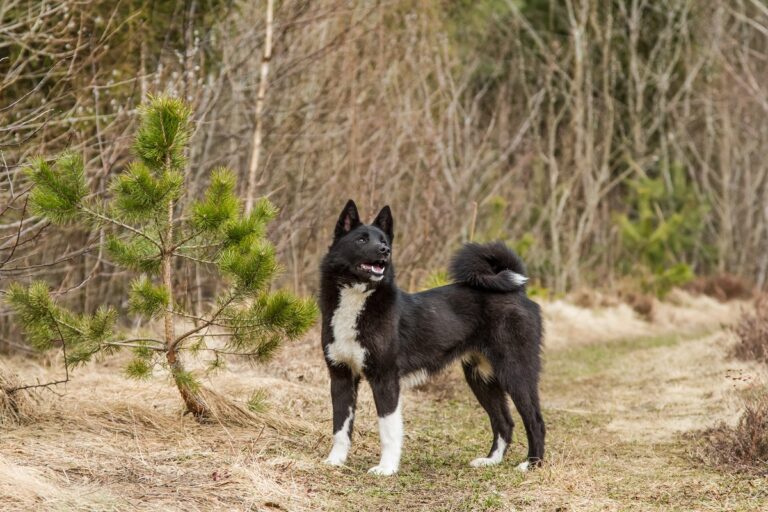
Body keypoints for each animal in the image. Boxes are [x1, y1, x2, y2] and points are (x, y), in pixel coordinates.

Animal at [320, 200, 544, 476]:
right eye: (361, 239)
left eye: (383, 240)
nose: (384, 251)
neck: (358, 298)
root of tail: (518, 291)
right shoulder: (341, 376)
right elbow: (340, 427)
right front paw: (335, 461)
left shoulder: (385, 379)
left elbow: (388, 430)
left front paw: (387, 468)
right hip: (481, 377)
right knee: (504, 421)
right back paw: (491, 460)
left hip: (516, 372)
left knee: (535, 420)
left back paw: (532, 464)